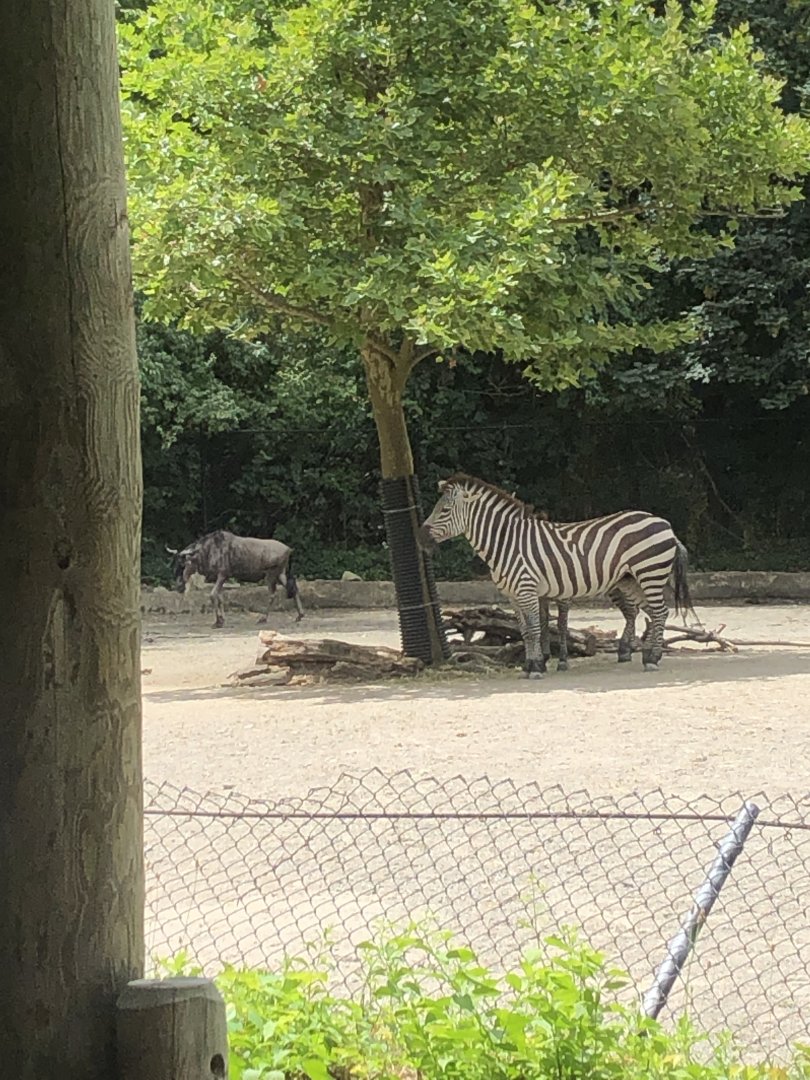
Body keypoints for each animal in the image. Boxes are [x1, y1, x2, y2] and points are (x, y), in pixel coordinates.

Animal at [419, 474, 694, 678]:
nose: (421, 540)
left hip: (650, 573)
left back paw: (652, 658)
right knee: (653, 613)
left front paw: (536, 668)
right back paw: (647, 655)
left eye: (444, 510)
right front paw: (530, 665)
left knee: (659, 612)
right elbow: (525, 630)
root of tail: (665, 523)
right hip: (632, 580)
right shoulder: (513, 596)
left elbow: (534, 629)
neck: (507, 543)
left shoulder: (527, 589)